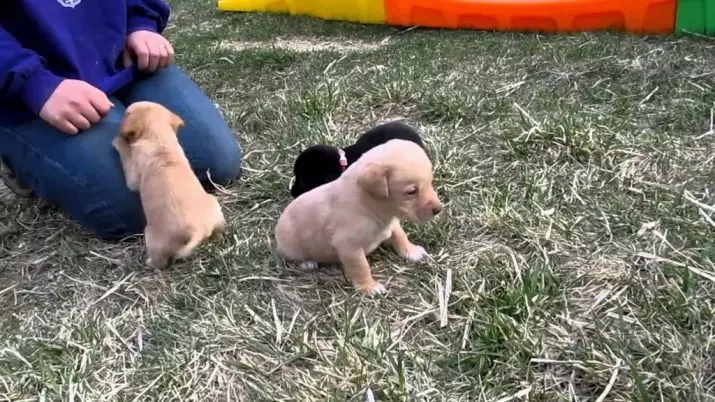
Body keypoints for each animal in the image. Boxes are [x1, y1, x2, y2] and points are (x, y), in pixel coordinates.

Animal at [112, 101, 227, 270]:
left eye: (127, 113)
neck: (159, 138)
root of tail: (198, 229)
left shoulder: (133, 176)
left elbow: (126, 154)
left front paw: (118, 141)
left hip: (151, 237)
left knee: (160, 262)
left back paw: (150, 263)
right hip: (215, 208)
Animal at [274, 140, 442, 294]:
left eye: (430, 182)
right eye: (411, 191)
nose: (439, 209)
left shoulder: (391, 224)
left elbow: (400, 236)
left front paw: (411, 251)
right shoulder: (349, 247)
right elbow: (361, 267)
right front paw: (369, 287)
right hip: (291, 247)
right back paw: (307, 263)